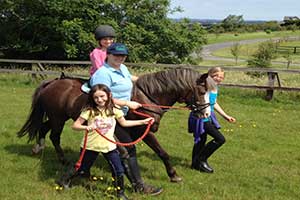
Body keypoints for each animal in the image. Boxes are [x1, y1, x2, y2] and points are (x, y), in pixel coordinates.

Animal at [17, 67, 214, 183]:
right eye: (202, 91)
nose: (206, 114)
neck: (146, 98)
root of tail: (53, 82)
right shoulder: (144, 131)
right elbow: (162, 152)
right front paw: (173, 175)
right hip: (58, 118)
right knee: (54, 135)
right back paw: (62, 159)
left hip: (58, 117)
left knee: (44, 129)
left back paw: (38, 148)